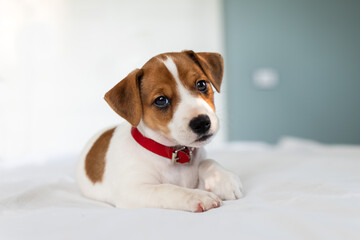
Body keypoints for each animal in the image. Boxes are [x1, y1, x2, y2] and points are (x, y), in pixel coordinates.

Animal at [77, 50, 243, 212]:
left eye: (201, 84)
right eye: (161, 100)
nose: (202, 123)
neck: (175, 154)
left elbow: (207, 161)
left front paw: (223, 179)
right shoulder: (132, 191)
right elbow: (167, 189)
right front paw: (197, 196)